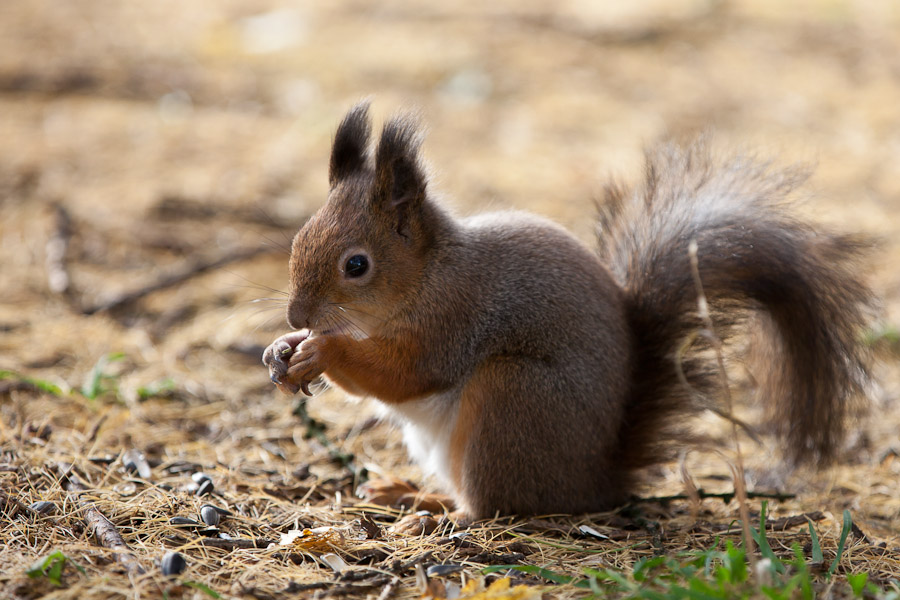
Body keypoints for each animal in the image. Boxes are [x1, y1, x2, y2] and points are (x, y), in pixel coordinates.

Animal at [260, 102, 872, 520]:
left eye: (356, 265)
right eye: (298, 239)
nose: (295, 316)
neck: (430, 273)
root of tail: (596, 480)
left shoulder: (455, 317)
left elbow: (406, 372)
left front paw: (322, 350)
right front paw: (281, 351)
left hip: (514, 397)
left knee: (498, 503)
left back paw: (442, 514)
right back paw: (410, 493)